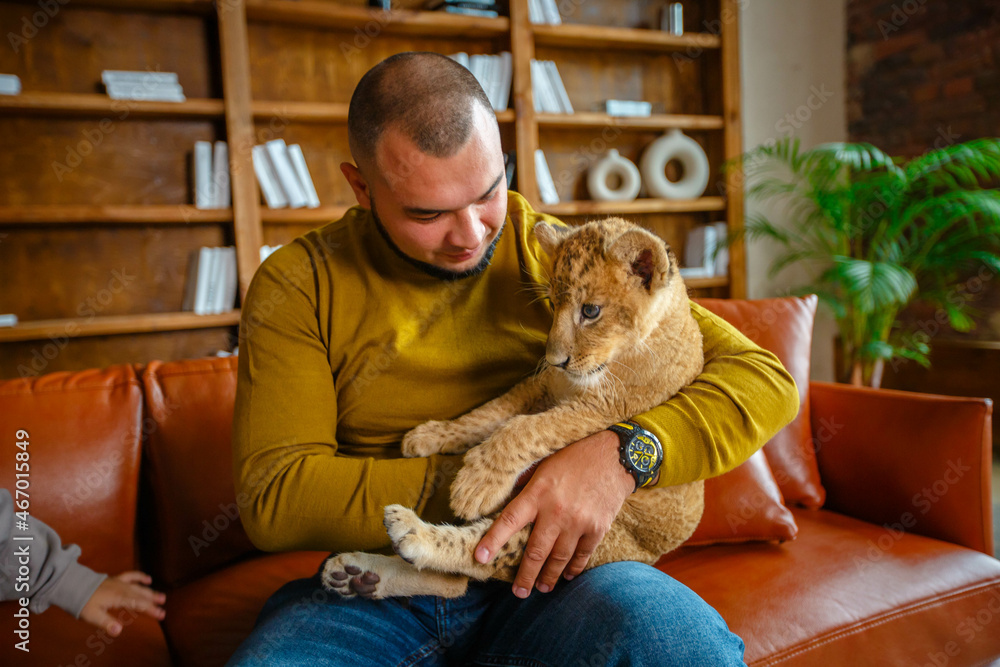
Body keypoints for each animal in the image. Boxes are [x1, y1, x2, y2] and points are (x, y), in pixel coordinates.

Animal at [322, 217, 706, 599]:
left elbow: (525, 428)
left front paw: (473, 486)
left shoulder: (605, 408)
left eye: (590, 311)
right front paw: (430, 435)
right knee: (454, 584)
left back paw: (408, 535)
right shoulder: (541, 386)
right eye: (553, 304)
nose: (555, 360)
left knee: (481, 558)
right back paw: (355, 574)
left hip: (573, 531)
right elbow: (490, 414)